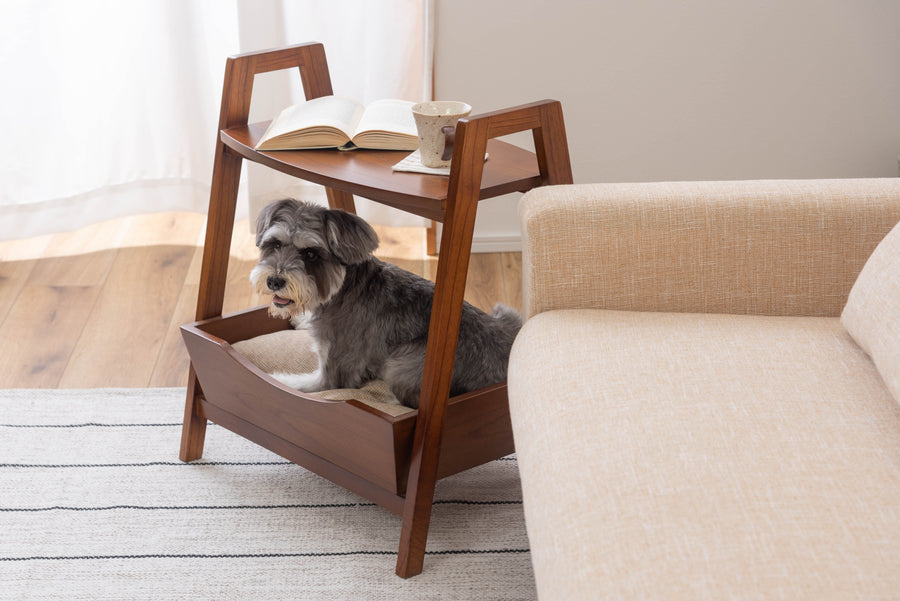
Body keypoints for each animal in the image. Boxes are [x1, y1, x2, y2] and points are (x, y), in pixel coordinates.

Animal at [250, 199, 524, 410]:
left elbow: (294, 384)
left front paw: (276, 378)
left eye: (310, 254)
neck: (343, 290)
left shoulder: (333, 375)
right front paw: (301, 319)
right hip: (507, 312)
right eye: (275, 244)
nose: (274, 281)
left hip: (402, 363)